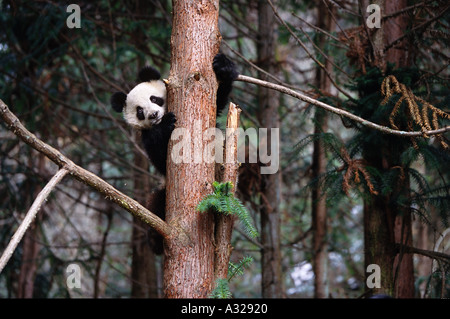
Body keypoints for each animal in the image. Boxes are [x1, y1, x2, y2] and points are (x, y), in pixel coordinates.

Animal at [110, 53, 239, 255]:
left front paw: (223, 66)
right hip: (163, 192)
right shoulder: (147, 139)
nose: (154, 115)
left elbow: (218, 100)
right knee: (156, 202)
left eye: (155, 99)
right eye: (139, 111)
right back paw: (155, 240)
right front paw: (165, 124)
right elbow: (160, 157)